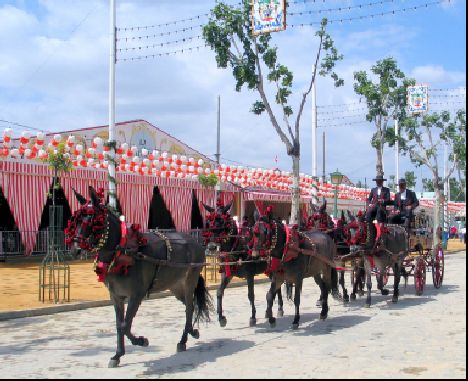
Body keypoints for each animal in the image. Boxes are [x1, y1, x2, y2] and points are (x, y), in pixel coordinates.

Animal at [66, 186, 212, 366]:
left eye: (93, 219)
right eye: (76, 220)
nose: (75, 250)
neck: (122, 251)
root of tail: (195, 242)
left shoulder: (136, 295)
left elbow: (125, 325)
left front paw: (141, 341)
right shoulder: (116, 296)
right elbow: (119, 324)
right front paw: (118, 355)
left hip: (190, 280)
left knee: (190, 307)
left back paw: (184, 339)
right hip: (176, 286)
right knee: (189, 306)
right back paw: (190, 333)